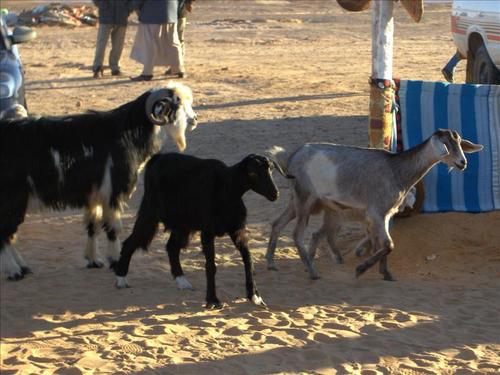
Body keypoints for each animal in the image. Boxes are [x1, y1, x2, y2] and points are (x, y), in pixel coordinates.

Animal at [0, 83, 199, 280]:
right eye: (176, 103)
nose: (195, 120)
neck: (126, 134)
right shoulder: (112, 193)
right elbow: (113, 228)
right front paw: (115, 261)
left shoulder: (94, 196)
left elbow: (92, 225)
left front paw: (93, 260)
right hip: (12, 199)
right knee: (4, 234)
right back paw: (14, 271)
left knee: (9, 235)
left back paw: (22, 267)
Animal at [111, 153, 290, 308]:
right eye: (252, 172)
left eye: (270, 169)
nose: (275, 194)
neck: (226, 189)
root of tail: (158, 158)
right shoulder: (207, 232)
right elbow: (211, 265)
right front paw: (213, 300)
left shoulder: (237, 230)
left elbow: (248, 260)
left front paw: (255, 296)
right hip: (150, 211)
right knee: (131, 242)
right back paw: (121, 279)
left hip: (182, 224)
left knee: (171, 247)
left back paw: (183, 282)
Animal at [268, 129, 482, 282]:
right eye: (446, 144)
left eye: (460, 144)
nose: (462, 163)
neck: (396, 170)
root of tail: (292, 156)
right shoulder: (376, 212)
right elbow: (388, 244)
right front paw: (361, 269)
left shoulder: (385, 215)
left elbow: (382, 243)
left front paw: (386, 273)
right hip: (305, 198)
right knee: (297, 234)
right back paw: (312, 271)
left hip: (297, 201)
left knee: (277, 223)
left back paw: (272, 263)